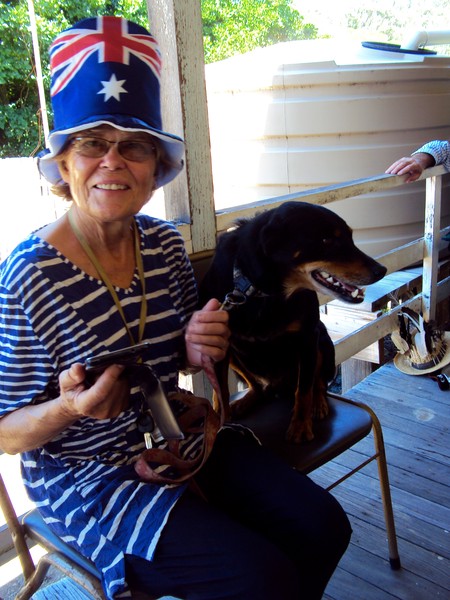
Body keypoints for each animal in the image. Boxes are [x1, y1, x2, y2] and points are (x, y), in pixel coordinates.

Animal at [199, 201, 387, 442]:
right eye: (326, 241)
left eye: (350, 237)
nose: (381, 270)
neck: (262, 292)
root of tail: (278, 388)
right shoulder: (217, 341)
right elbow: (220, 392)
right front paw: (220, 425)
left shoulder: (307, 337)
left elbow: (304, 389)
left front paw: (300, 427)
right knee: (258, 388)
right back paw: (244, 402)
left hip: (322, 341)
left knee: (317, 382)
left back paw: (318, 404)